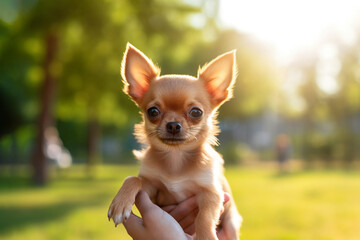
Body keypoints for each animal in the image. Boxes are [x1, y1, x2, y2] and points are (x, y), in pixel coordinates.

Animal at [107, 43, 242, 240]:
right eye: (153, 111)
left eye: (196, 112)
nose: (173, 125)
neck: (175, 158)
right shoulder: (152, 190)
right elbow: (133, 179)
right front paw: (120, 202)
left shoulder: (212, 192)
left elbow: (204, 217)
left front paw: (206, 236)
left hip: (231, 222)